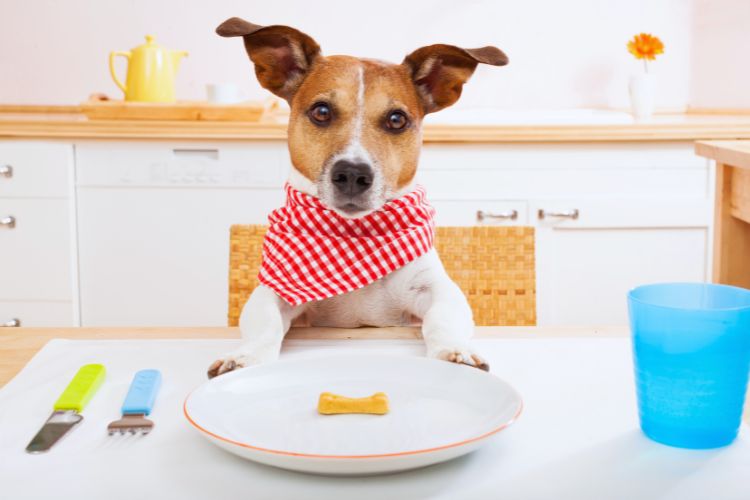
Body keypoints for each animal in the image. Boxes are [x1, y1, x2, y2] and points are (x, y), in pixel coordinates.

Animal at [209, 16, 508, 378]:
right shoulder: (277, 291)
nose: (352, 174)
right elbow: (265, 320)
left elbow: (443, 316)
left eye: (397, 119)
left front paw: (454, 351)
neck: (356, 236)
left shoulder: (435, 289)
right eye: (322, 111)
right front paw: (246, 356)